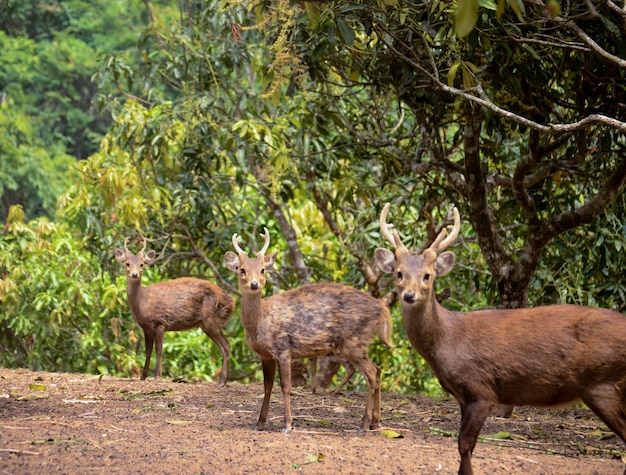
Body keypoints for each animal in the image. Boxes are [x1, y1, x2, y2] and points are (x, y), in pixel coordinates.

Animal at [115, 238, 234, 386]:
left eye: (142, 264)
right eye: (127, 263)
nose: (134, 274)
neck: (142, 301)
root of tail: (232, 301)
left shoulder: (160, 322)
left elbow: (159, 350)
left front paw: (157, 376)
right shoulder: (146, 328)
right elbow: (147, 351)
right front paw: (143, 376)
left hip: (212, 320)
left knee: (226, 345)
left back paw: (222, 381)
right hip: (207, 324)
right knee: (223, 347)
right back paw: (223, 380)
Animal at [223, 230, 390, 436]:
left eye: (262, 270)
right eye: (242, 269)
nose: (254, 285)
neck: (259, 322)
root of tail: (383, 310)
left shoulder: (283, 349)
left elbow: (285, 386)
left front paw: (287, 425)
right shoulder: (265, 354)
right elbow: (267, 387)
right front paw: (259, 423)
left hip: (354, 341)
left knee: (372, 374)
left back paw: (364, 425)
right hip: (358, 343)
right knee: (378, 370)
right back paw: (376, 422)